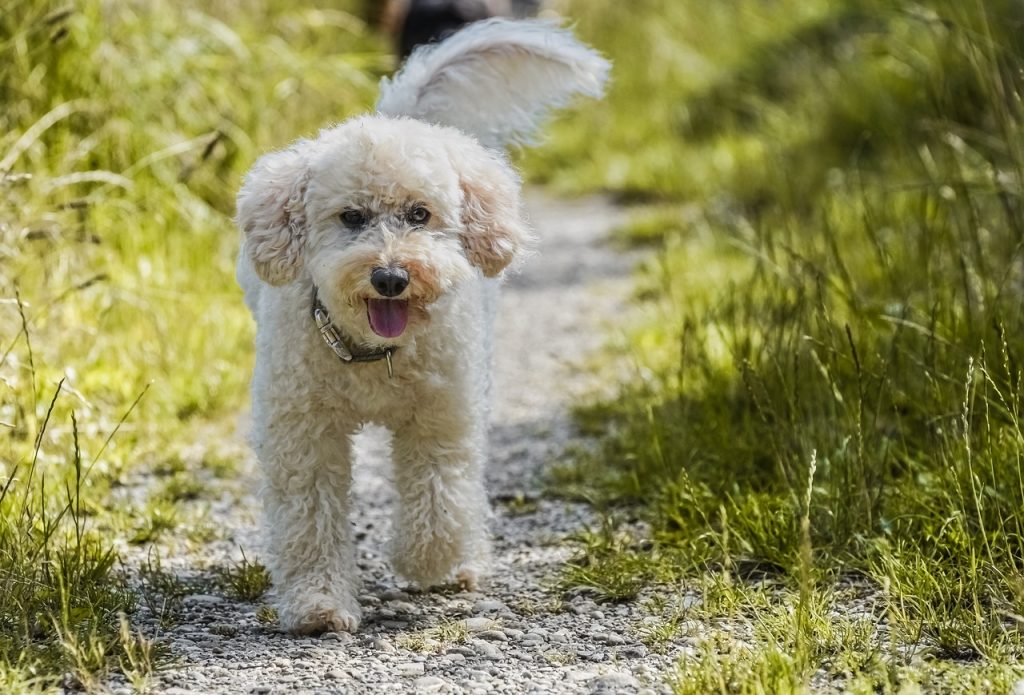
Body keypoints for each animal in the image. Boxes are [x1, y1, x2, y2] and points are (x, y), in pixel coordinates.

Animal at [235, 19, 606, 634]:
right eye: (351, 217)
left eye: (419, 215)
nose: (390, 276)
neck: (373, 353)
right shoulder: (303, 433)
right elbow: (309, 517)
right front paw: (319, 604)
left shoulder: (440, 416)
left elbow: (439, 497)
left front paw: (426, 563)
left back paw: (464, 564)